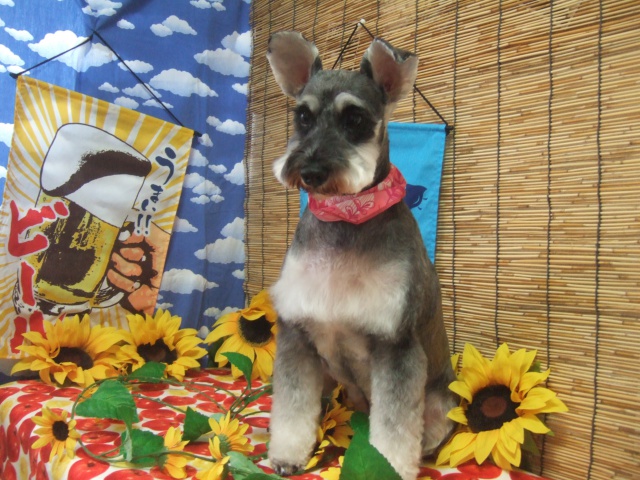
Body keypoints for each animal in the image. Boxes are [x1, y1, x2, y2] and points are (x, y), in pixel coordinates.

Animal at [266, 31, 457, 480]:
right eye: (303, 117)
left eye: (354, 119)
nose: (311, 171)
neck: (345, 217)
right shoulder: (297, 334)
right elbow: (292, 406)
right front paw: (286, 454)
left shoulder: (397, 345)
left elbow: (395, 426)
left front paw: (388, 467)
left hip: (440, 404)